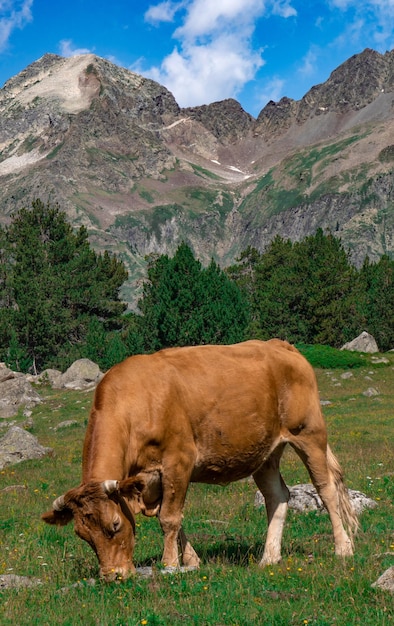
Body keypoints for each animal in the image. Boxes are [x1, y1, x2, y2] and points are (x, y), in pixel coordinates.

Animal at [41, 338, 358, 576]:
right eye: (82, 534)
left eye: (115, 525)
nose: (113, 576)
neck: (137, 401)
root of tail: (279, 344)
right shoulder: (148, 479)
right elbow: (173, 516)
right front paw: (191, 560)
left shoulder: (179, 460)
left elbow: (169, 518)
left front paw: (170, 564)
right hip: (265, 452)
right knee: (277, 496)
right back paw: (269, 557)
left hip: (309, 433)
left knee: (327, 489)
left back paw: (343, 548)